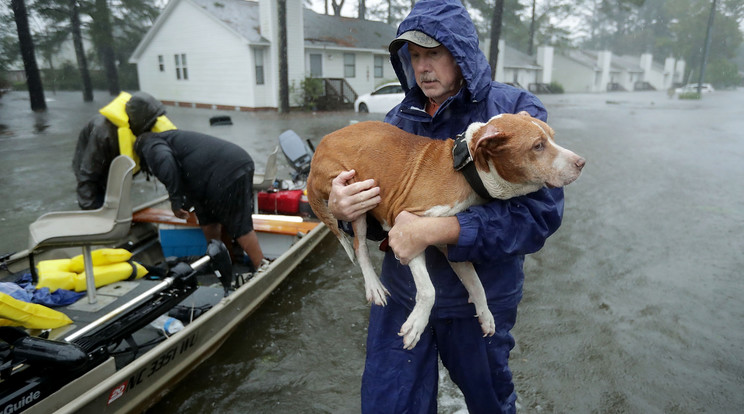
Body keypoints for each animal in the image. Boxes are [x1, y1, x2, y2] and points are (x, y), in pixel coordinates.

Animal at [306, 112, 584, 350]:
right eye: (538, 146)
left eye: (552, 137)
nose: (581, 162)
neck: (468, 172)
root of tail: (320, 147)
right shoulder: (405, 228)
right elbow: (429, 290)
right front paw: (416, 325)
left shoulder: (452, 242)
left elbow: (476, 284)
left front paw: (485, 314)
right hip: (354, 192)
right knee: (359, 246)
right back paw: (374, 286)